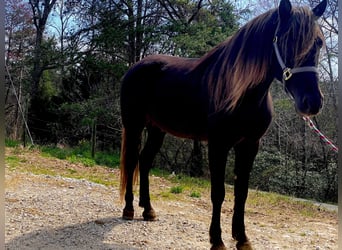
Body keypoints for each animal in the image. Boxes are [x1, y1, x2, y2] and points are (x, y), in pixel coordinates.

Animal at [119, 0, 328, 249]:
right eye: (286, 40)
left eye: (319, 42)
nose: (312, 102)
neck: (241, 92)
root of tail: (135, 66)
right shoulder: (218, 145)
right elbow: (218, 192)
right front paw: (217, 240)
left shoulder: (249, 145)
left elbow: (242, 192)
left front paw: (242, 238)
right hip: (134, 125)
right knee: (132, 162)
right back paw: (129, 209)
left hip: (157, 129)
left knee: (145, 161)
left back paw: (148, 209)